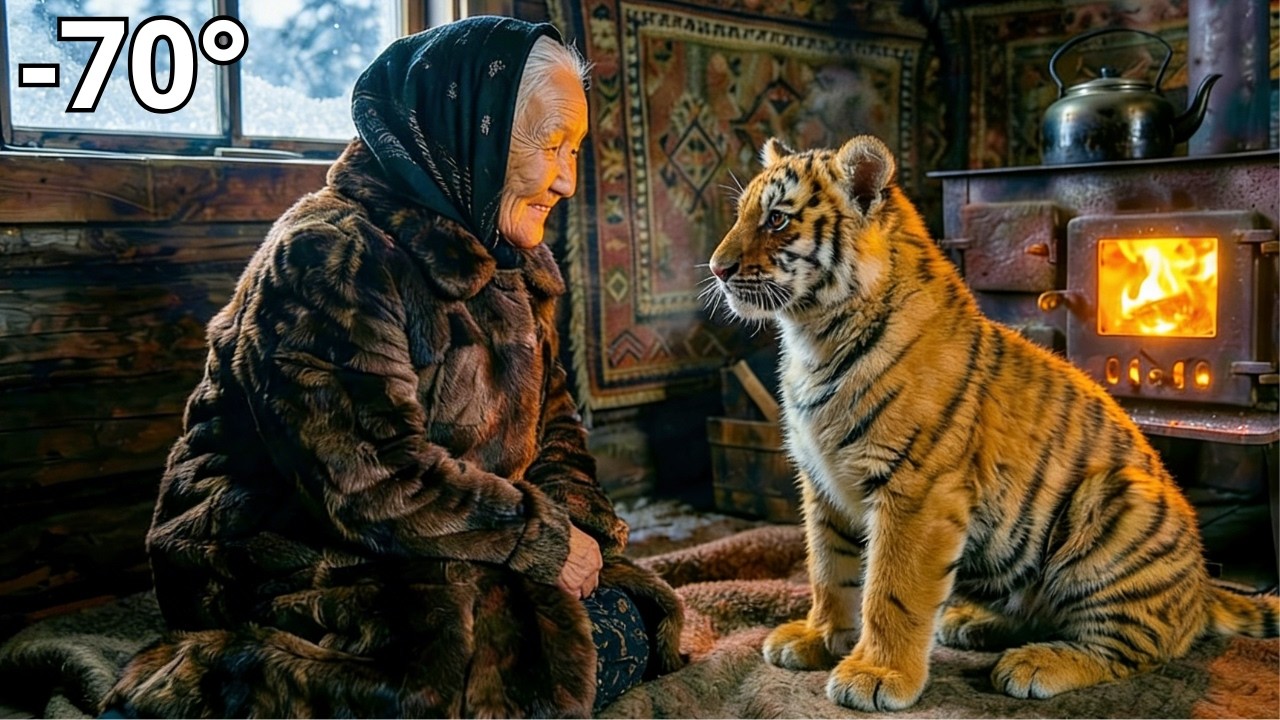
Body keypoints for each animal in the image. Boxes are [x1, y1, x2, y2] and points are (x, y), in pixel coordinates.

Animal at [706, 134, 1280, 711]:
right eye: (740, 215)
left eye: (777, 219)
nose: (717, 268)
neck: (814, 337)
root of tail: (1203, 590)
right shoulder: (822, 484)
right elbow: (829, 570)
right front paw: (818, 638)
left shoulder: (914, 490)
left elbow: (890, 588)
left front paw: (876, 673)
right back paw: (970, 623)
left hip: (1114, 502)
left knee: (1136, 647)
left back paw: (1035, 664)